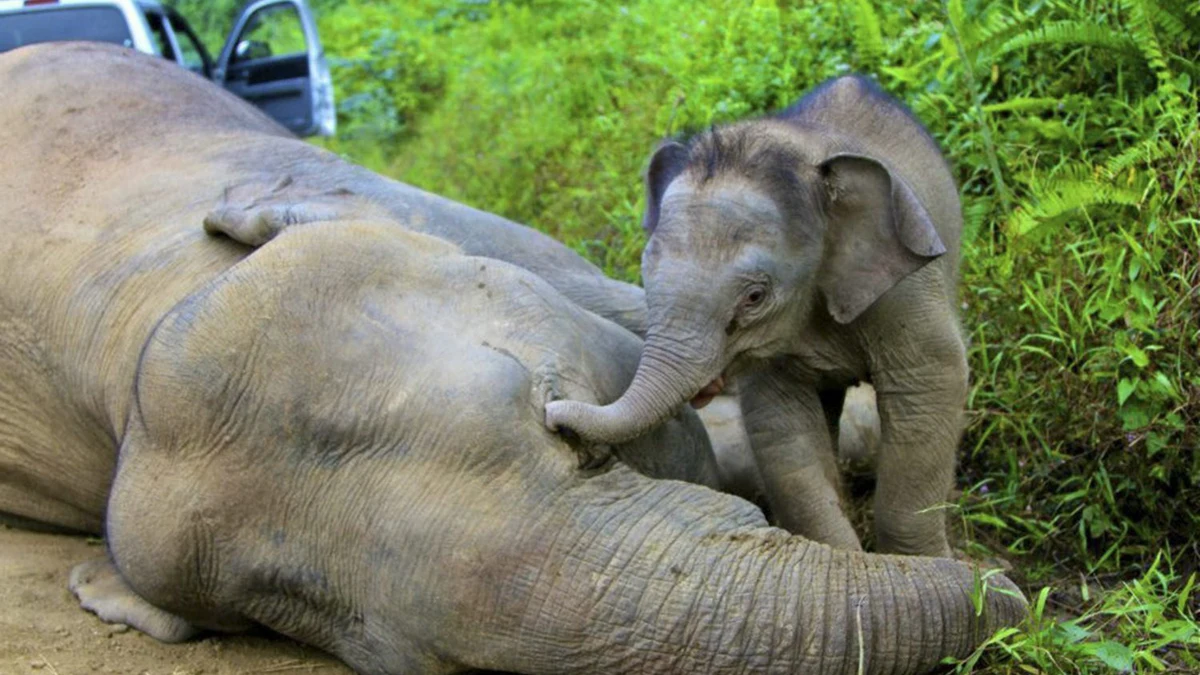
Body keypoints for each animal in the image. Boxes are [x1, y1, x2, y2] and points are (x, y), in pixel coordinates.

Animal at [549, 74, 969, 557]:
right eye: (644, 274)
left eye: (754, 296)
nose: (553, 415)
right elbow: (781, 427)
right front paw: (843, 557)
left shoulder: (906, 289)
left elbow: (930, 385)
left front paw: (929, 564)